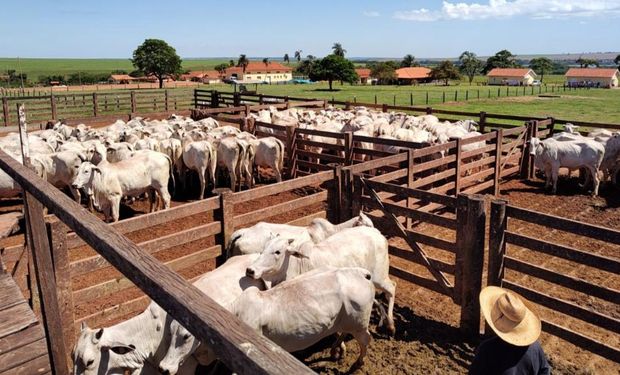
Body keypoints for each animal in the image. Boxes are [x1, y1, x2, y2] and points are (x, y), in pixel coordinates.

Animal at [245, 226, 394, 334]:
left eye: (278, 252)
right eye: (263, 249)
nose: (250, 270)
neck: (295, 264)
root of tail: (376, 232)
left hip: (380, 277)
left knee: (392, 288)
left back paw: (391, 324)